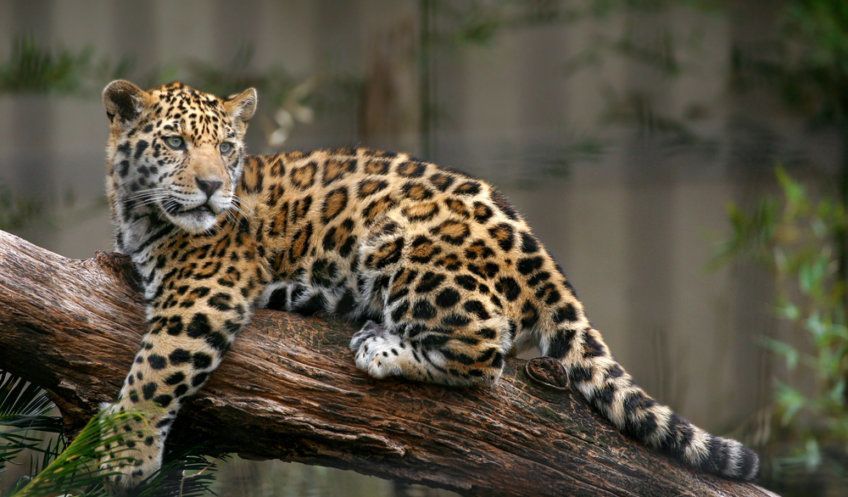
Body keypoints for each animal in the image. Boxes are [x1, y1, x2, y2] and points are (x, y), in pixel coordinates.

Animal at [97, 79, 759, 489]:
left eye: (228, 148)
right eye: (175, 142)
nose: (213, 187)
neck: (137, 210)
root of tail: (539, 251)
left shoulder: (205, 291)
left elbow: (157, 369)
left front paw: (122, 452)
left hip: (405, 246)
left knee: (487, 353)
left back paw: (381, 347)